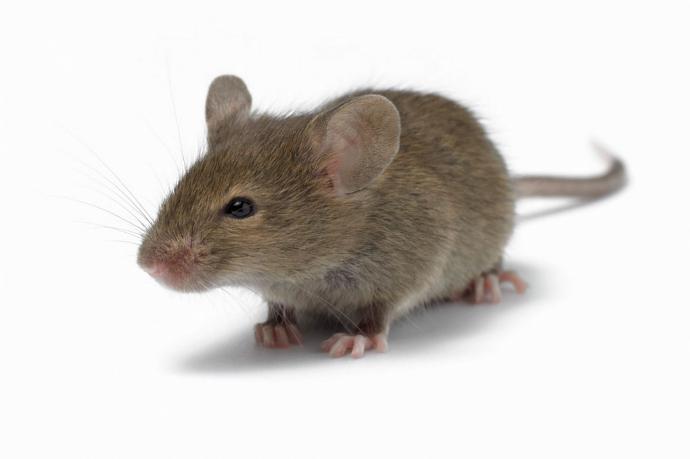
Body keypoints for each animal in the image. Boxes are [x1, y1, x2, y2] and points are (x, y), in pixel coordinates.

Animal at [137, 75, 626, 358]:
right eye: (180, 184)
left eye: (240, 207)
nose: (148, 265)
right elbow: (277, 306)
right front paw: (275, 330)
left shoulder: (412, 264)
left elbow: (380, 310)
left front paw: (358, 337)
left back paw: (486, 281)